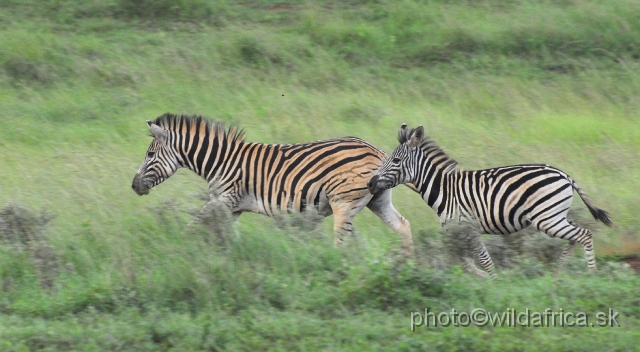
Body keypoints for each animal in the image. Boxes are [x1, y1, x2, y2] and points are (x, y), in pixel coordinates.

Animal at [132, 113, 412, 250]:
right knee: (403, 226)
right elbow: (228, 235)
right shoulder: (233, 208)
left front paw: (178, 246)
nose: (134, 186)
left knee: (342, 242)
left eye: (150, 155)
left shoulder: (224, 200)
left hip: (343, 202)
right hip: (377, 199)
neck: (221, 161)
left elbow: (194, 224)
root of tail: (378, 152)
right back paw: (407, 263)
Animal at [364, 124, 608, 278]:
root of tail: (563, 174)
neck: (444, 190)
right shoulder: (458, 232)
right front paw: (480, 278)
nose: (370, 183)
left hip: (546, 218)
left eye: (396, 160)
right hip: (555, 215)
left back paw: (592, 274)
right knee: (576, 236)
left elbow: (483, 259)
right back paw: (558, 273)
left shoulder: (467, 228)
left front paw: (493, 281)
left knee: (584, 234)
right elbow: (465, 261)